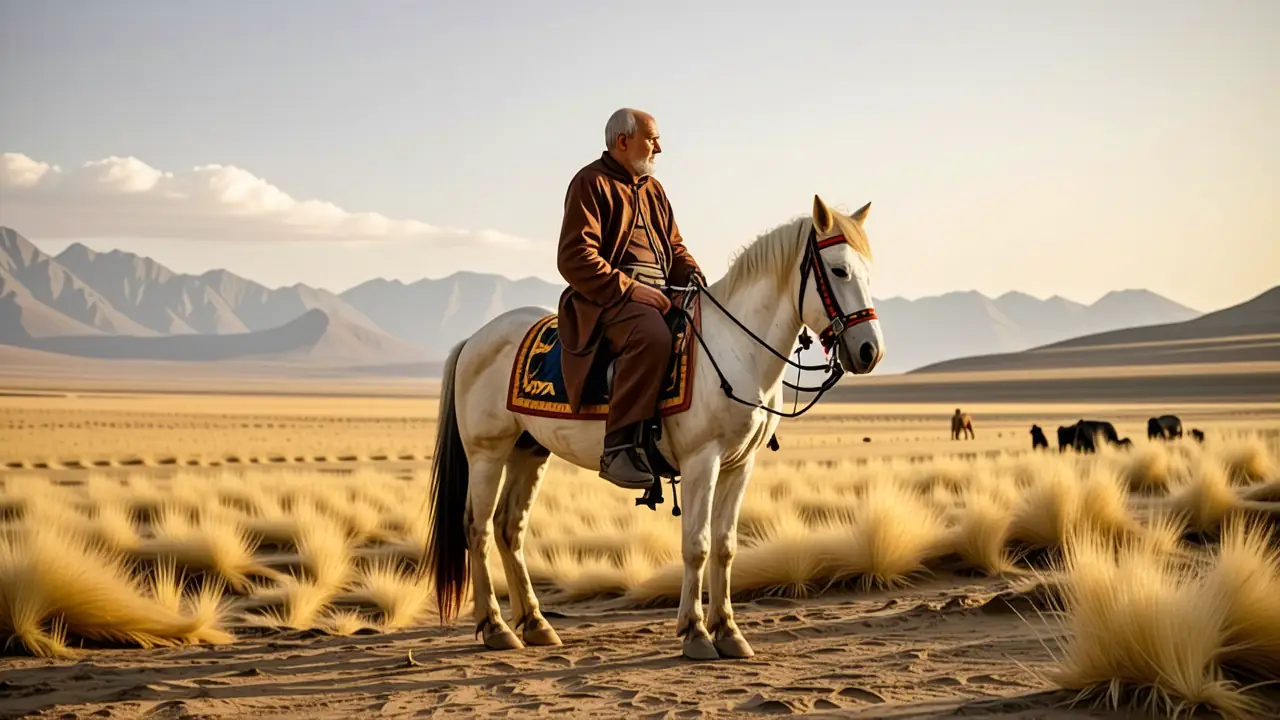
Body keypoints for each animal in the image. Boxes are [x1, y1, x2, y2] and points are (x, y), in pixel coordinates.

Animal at [424, 195, 885, 661]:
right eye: (840, 271)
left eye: (869, 272)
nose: (870, 350)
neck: (735, 349)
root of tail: (474, 339)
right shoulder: (703, 461)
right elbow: (697, 545)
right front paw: (696, 632)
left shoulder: (740, 465)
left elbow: (725, 546)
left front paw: (729, 631)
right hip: (487, 452)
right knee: (477, 528)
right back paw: (495, 626)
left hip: (529, 451)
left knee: (509, 527)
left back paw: (535, 623)